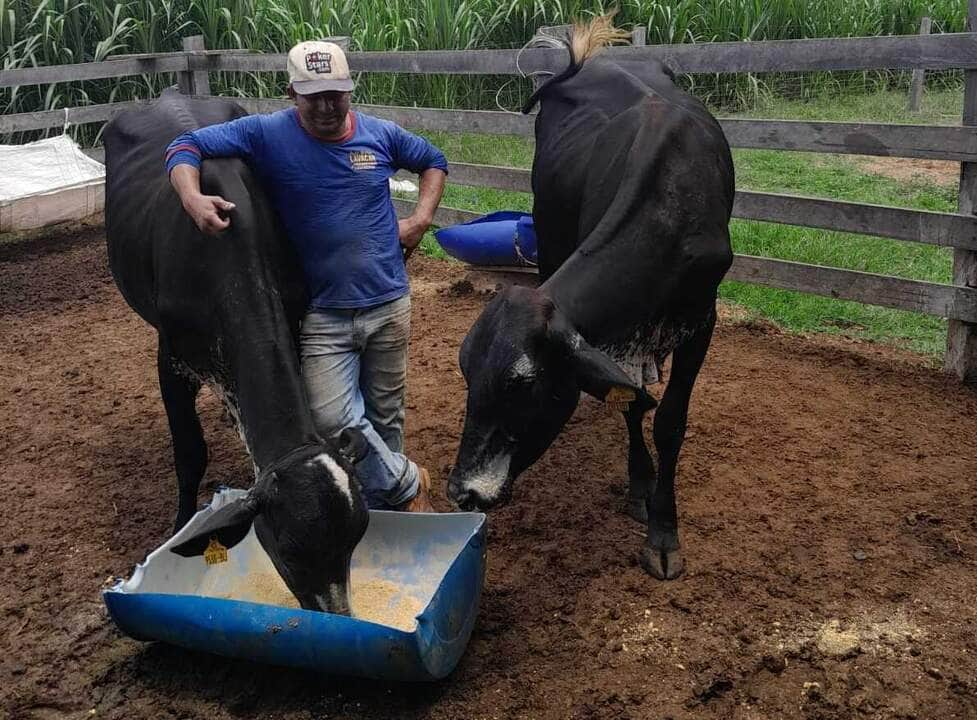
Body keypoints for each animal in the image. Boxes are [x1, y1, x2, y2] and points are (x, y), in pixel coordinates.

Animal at [444, 21, 732, 580]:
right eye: (467, 374)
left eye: (522, 383)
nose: (462, 491)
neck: (669, 208)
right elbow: (634, 404)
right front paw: (640, 486)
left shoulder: (701, 321)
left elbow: (670, 422)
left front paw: (664, 534)